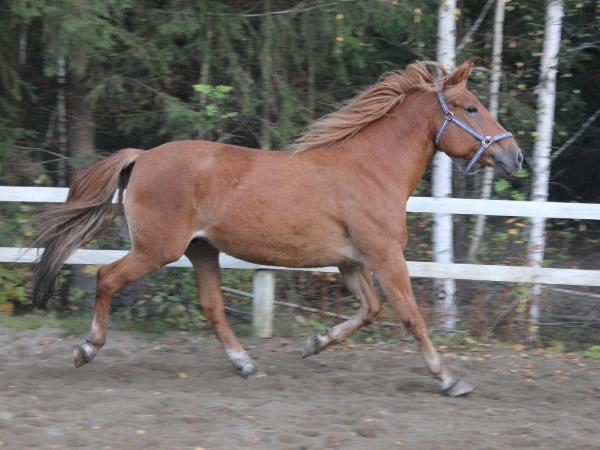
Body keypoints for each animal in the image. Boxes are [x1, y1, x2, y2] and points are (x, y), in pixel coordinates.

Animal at [31, 61, 522, 397]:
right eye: (471, 107)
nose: (514, 156)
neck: (368, 169)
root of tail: (142, 157)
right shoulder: (385, 256)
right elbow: (411, 317)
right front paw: (449, 378)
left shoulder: (351, 263)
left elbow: (370, 311)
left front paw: (315, 343)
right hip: (158, 249)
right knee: (106, 277)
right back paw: (86, 349)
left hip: (201, 249)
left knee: (211, 306)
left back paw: (244, 363)